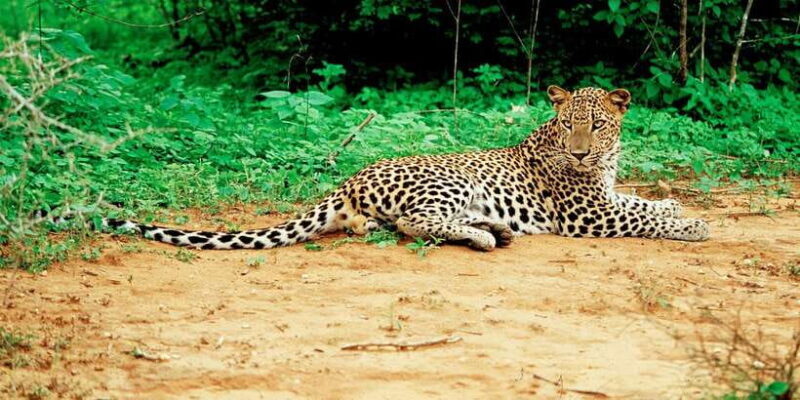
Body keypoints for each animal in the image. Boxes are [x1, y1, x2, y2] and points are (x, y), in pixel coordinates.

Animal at [103, 85, 710, 251]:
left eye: (598, 125)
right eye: (568, 126)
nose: (581, 151)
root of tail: (350, 178)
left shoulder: (605, 196)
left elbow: (641, 202)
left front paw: (674, 204)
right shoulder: (587, 213)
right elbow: (641, 217)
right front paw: (693, 224)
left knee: (396, 224)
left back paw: (493, 228)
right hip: (450, 180)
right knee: (415, 224)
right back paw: (486, 237)